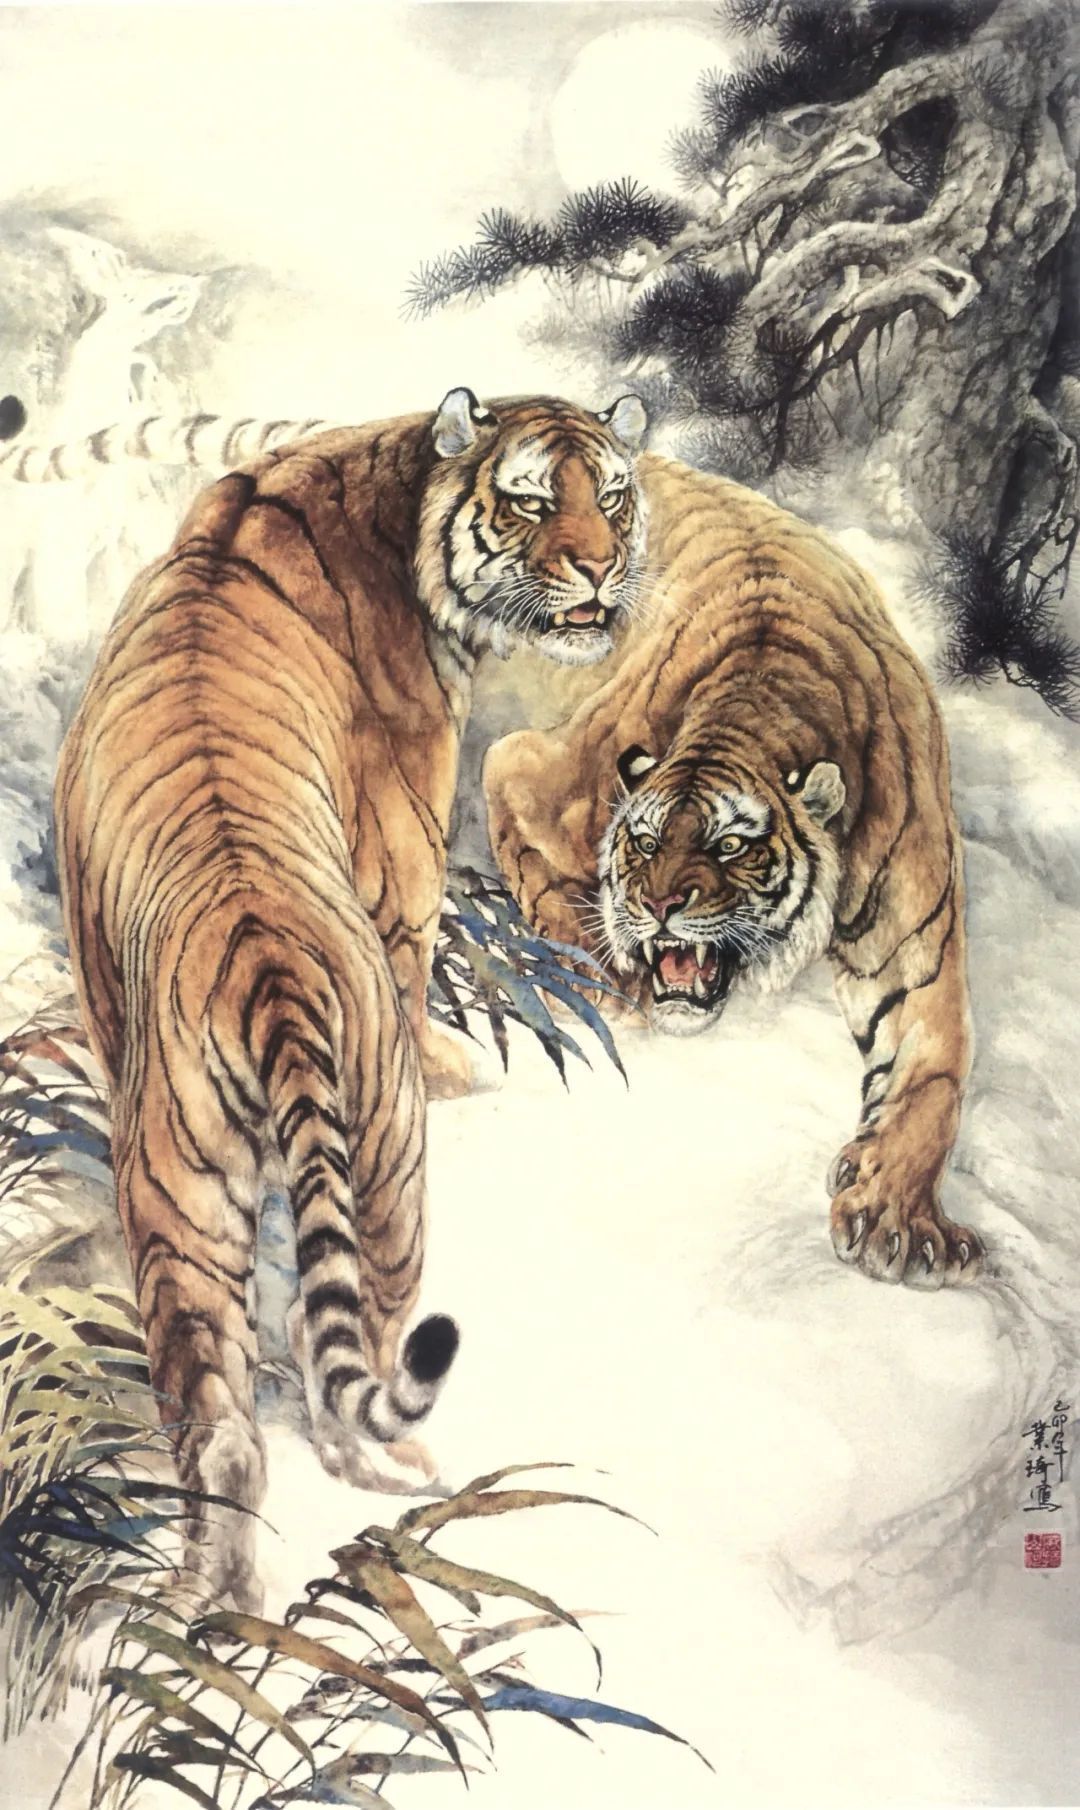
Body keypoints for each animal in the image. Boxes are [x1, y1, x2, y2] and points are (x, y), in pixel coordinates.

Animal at [50, 386, 649, 1608]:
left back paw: (212, 1604)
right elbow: (422, 966)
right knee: (357, 1339)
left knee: (227, 1426)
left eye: (612, 495)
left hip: (190, 1201)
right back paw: (387, 1473)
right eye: (534, 502)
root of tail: (269, 967)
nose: (603, 569)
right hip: (384, 1164)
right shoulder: (408, 861)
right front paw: (459, 1061)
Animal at [484, 453, 983, 1293]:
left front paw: (896, 1216)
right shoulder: (517, 763)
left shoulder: (916, 950)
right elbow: (537, 876)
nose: (656, 907)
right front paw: (598, 978)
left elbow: (935, 1079)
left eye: (729, 846)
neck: (755, 704)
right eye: (644, 842)